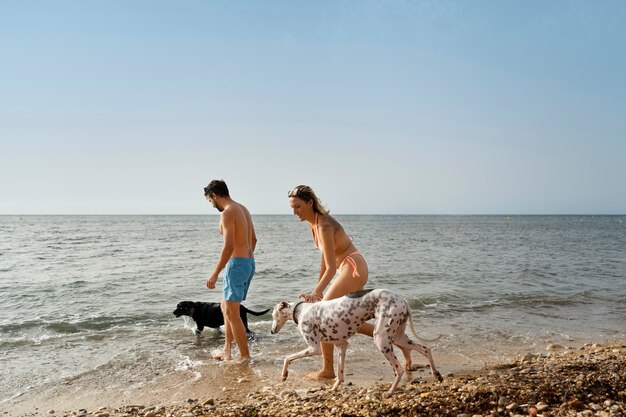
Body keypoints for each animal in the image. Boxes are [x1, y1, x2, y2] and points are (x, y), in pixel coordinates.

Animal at [270, 288, 442, 394]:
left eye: (273, 315)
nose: (271, 331)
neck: (300, 310)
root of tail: (403, 300)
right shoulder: (342, 345)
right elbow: (340, 374)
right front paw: (333, 389)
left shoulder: (314, 348)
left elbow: (287, 357)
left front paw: (284, 375)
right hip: (397, 336)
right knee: (425, 348)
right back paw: (436, 374)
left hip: (381, 338)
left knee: (399, 369)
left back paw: (390, 392)